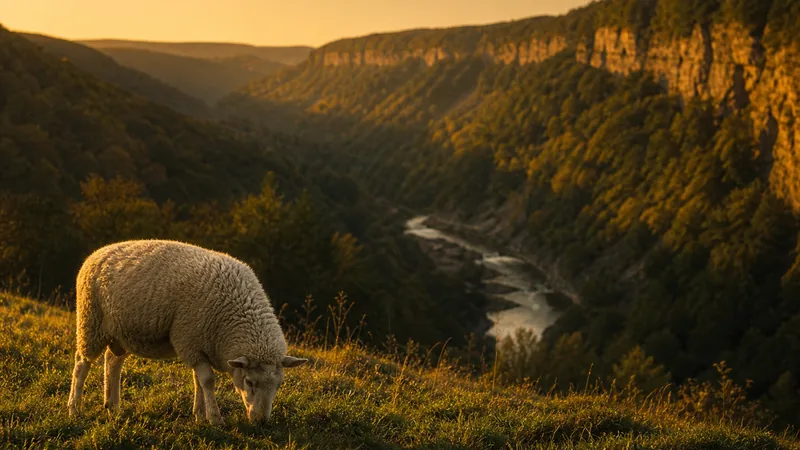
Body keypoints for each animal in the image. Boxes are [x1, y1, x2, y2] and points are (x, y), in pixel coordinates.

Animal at [67, 239, 307, 425]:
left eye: (279, 385)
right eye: (249, 382)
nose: (261, 422)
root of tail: (97, 253)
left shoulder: (197, 343)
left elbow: (198, 381)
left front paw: (200, 414)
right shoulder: (191, 341)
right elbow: (208, 381)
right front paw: (215, 418)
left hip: (121, 333)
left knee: (112, 361)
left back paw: (112, 405)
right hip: (91, 321)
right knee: (81, 363)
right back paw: (74, 407)